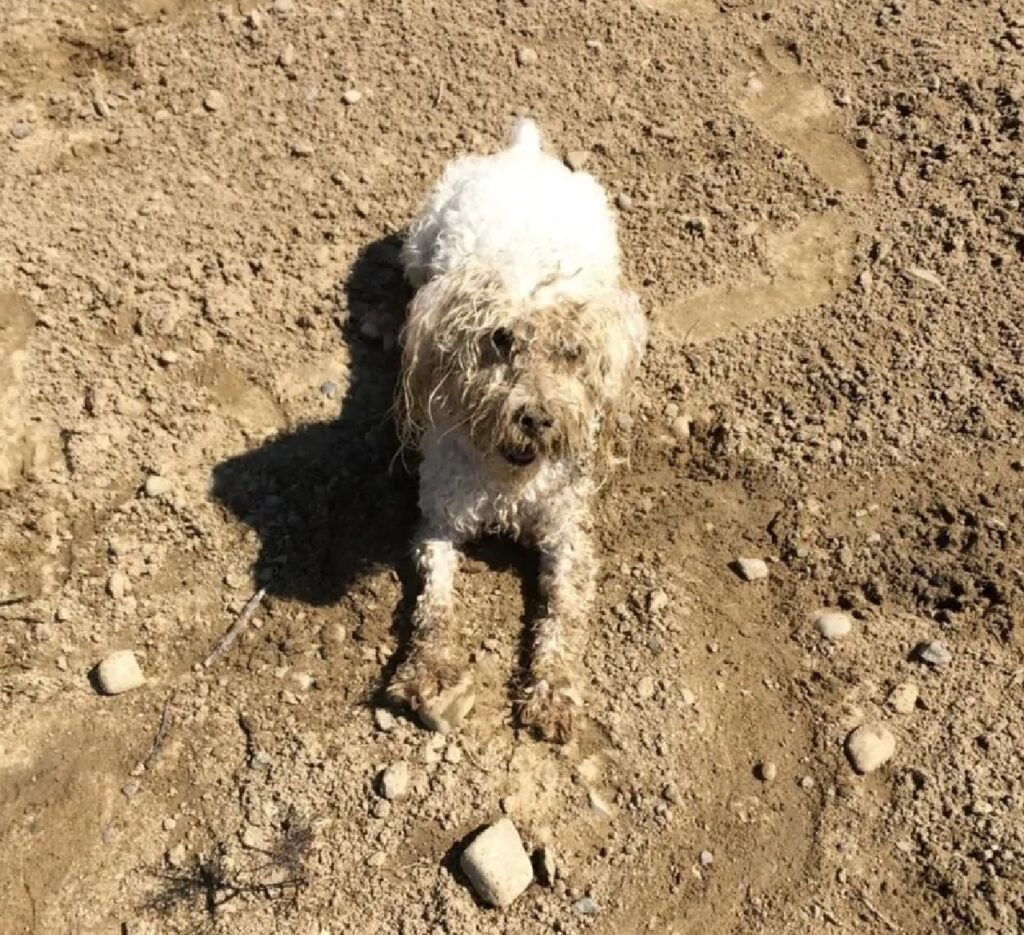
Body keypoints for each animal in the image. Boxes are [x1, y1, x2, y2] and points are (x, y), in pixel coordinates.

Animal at [387, 118, 643, 745]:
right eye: (500, 338)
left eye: (574, 351)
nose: (537, 417)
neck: (509, 478)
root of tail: (524, 151)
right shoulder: (438, 521)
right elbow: (435, 604)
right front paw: (429, 672)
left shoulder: (566, 535)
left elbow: (564, 616)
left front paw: (552, 692)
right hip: (419, 243)